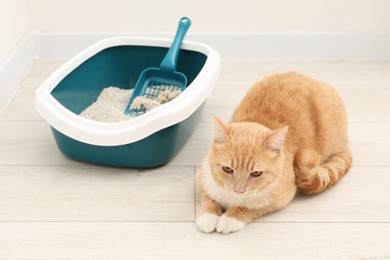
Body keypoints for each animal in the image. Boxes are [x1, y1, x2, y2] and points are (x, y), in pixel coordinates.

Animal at [197, 71, 352, 234]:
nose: (239, 190)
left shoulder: (282, 198)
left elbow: (251, 208)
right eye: (227, 169)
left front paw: (231, 218)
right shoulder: (201, 177)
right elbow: (208, 198)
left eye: (256, 173)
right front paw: (208, 216)